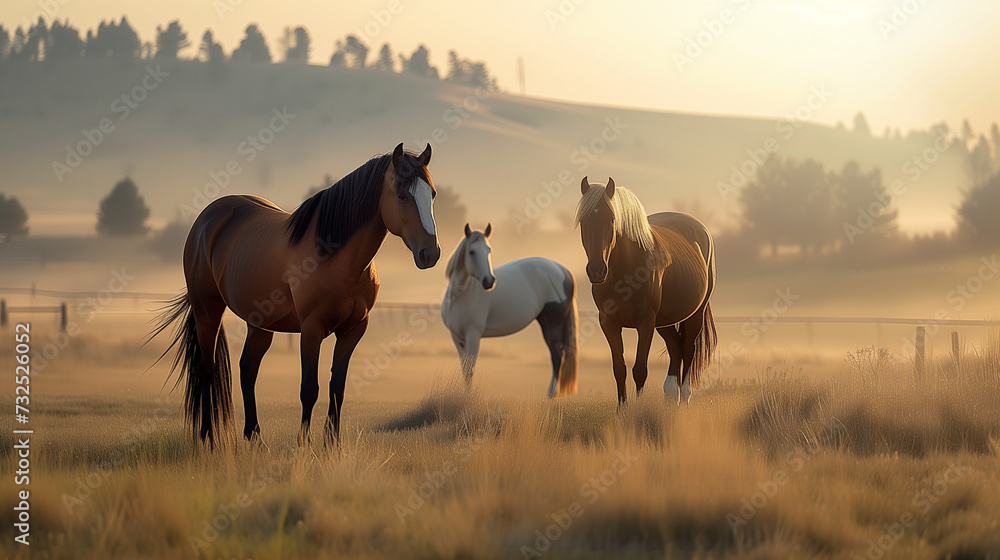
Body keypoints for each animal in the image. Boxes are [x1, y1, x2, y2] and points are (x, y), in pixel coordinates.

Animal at [150, 143, 441, 447]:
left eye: (431, 194)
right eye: (402, 195)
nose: (430, 253)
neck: (336, 256)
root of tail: (206, 220)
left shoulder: (353, 330)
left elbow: (337, 386)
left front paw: (331, 443)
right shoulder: (311, 329)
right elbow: (309, 389)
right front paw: (304, 443)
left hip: (259, 324)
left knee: (247, 370)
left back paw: (254, 436)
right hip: (207, 311)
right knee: (207, 370)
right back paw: (208, 437)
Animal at [440, 223, 579, 398]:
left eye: (489, 250)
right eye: (471, 251)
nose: (489, 281)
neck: (460, 295)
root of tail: (563, 270)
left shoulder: (473, 335)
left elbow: (470, 368)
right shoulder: (457, 337)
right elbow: (465, 368)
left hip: (554, 323)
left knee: (557, 356)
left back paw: (550, 395)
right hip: (546, 323)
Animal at [575, 177, 716, 405]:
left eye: (611, 219)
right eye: (583, 221)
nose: (596, 270)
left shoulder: (645, 323)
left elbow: (640, 370)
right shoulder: (609, 323)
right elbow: (619, 369)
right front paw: (622, 409)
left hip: (694, 314)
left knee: (688, 348)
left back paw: (685, 397)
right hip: (664, 321)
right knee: (676, 347)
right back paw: (672, 396)